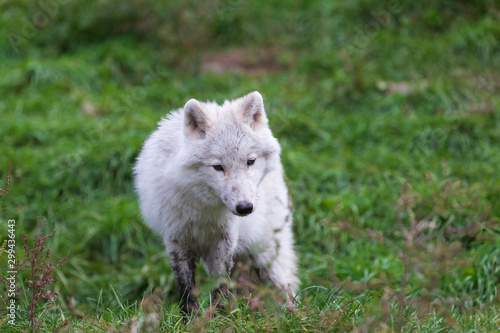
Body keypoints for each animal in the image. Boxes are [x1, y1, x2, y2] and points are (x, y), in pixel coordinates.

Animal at [134, 91, 296, 314]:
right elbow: (186, 290)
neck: (204, 210)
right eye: (218, 167)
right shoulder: (176, 240)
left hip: (267, 258)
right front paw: (191, 319)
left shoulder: (224, 240)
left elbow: (220, 284)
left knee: (287, 290)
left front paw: (220, 316)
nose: (245, 208)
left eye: (250, 161)